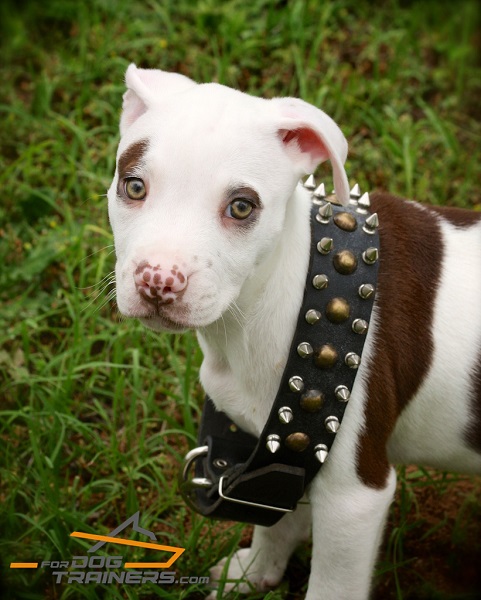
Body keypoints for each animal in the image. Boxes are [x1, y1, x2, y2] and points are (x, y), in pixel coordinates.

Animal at [109, 63, 480, 596]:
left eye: (242, 207)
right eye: (134, 187)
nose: (159, 281)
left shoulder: (353, 498)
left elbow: (331, 585)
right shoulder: (282, 450)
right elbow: (275, 519)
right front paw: (255, 573)